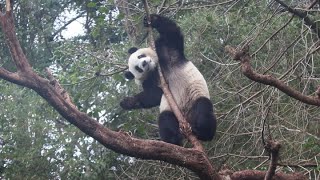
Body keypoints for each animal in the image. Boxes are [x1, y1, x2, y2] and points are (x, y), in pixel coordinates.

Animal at [120, 14, 218, 145]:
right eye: (138, 68)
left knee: (204, 110)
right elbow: (153, 96)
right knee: (165, 120)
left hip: (196, 96)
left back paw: (202, 132)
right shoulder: (149, 80)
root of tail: (186, 119)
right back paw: (173, 140)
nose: (144, 63)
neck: (156, 68)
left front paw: (150, 19)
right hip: (169, 109)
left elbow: (172, 32)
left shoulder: (168, 51)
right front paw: (127, 102)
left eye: (140, 56)